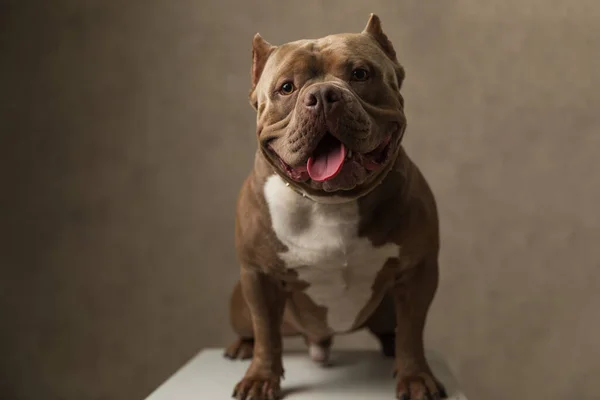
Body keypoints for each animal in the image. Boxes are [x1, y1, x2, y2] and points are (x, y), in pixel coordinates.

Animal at [224, 14, 446, 400]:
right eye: (286, 88)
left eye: (360, 74)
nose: (324, 95)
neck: (330, 201)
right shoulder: (258, 277)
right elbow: (267, 333)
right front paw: (260, 378)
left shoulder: (418, 271)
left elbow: (412, 331)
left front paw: (415, 376)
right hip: (241, 302)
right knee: (252, 328)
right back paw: (242, 346)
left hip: (387, 306)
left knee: (394, 328)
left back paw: (389, 345)